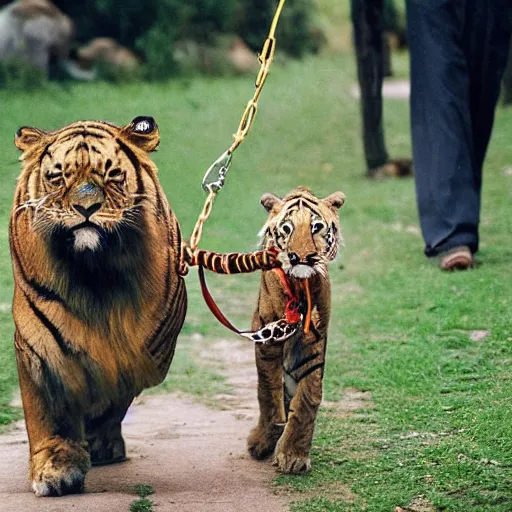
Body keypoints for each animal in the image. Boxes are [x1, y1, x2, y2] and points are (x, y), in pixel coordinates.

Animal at [10, 117, 186, 496]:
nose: (85, 209)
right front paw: (56, 468)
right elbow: (49, 409)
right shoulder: (40, 345)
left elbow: (114, 397)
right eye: (58, 177)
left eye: (112, 175)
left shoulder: (142, 350)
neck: (94, 273)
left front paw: (98, 441)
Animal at [247, 186, 346, 474]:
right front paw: (265, 438)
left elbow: (307, 398)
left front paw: (293, 456)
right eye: (287, 228)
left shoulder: (312, 342)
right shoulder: (267, 336)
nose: (301, 258)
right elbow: (268, 391)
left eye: (316, 226)